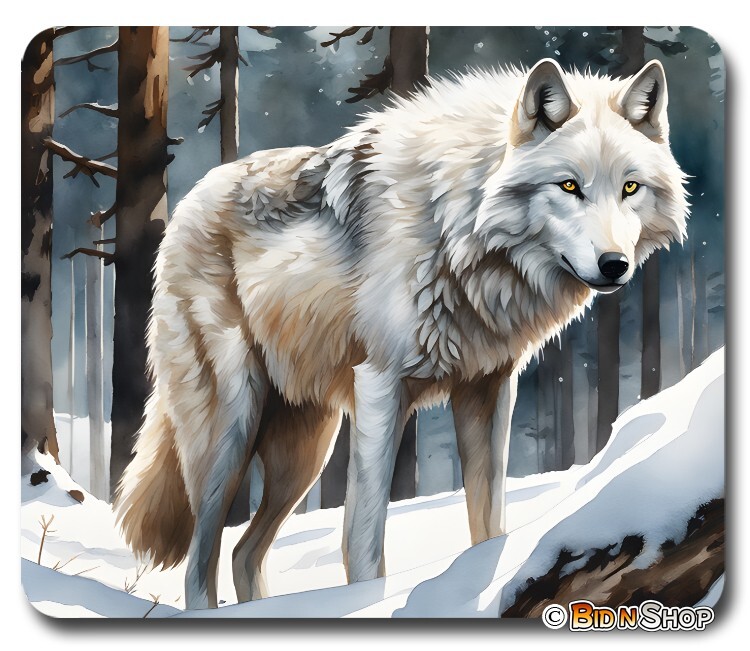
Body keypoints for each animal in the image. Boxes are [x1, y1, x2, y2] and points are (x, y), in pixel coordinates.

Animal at [115, 58, 688, 610]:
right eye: (569, 186)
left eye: (630, 187)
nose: (614, 265)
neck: (457, 226)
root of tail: (189, 198)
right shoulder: (380, 386)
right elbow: (363, 540)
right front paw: (367, 604)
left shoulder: (488, 389)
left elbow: (488, 525)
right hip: (230, 429)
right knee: (200, 557)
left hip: (304, 449)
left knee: (242, 551)